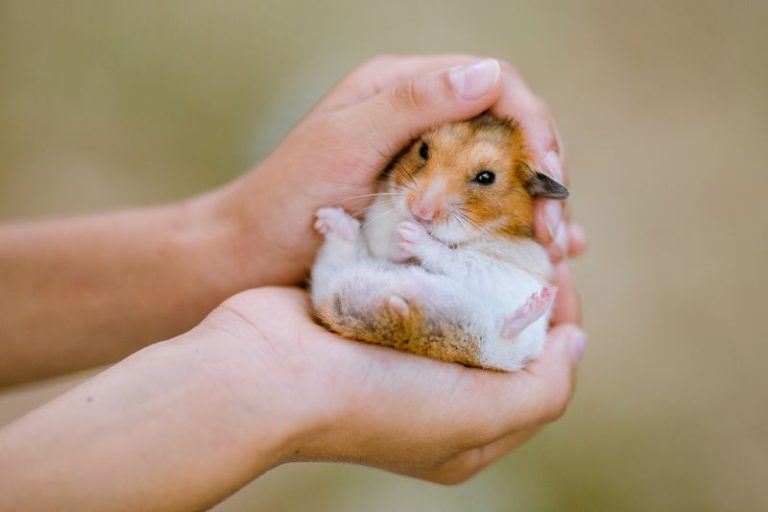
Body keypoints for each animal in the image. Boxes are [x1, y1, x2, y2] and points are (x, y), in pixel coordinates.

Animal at [310, 112, 569, 371]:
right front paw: (401, 232)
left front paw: (409, 233)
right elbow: (386, 244)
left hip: (510, 344)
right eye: (423, 150)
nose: (419, 211)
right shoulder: (378, 223)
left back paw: (539, 301)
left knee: (508, 334)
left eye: (486, 177)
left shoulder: (503, 268)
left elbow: (456, 257)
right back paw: (329, 220)